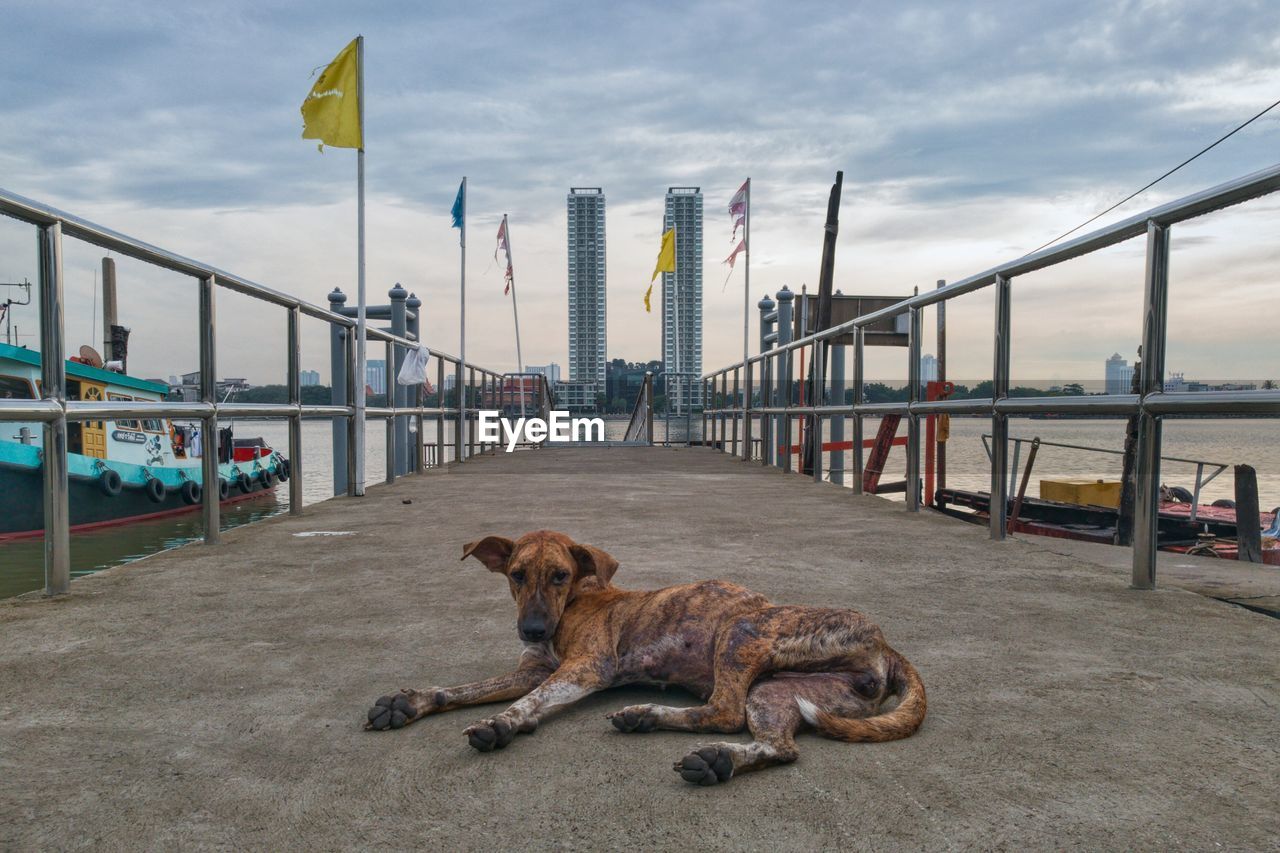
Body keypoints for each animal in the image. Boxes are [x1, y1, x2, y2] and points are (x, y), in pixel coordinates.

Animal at [366, 532, 926, 783]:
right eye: (517, 575)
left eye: (560, 575)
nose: (532, 629)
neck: (574, 603)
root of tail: (886, 644)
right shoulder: (532, 669)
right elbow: (462, 689)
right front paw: (409, 702)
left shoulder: (586, 668)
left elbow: (531, 702)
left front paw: (502, 723)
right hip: (779, 692)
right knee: (778, 746)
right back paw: (707, 753)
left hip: (741, 631)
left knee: (725, 711)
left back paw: (662, 723)